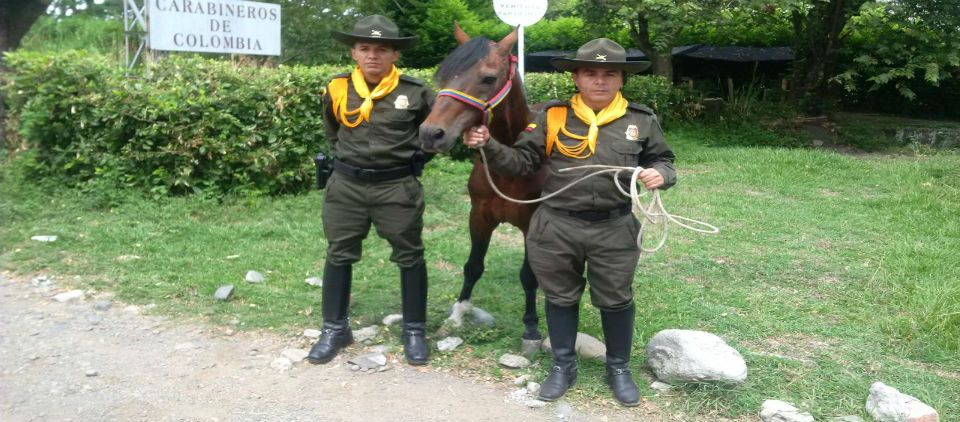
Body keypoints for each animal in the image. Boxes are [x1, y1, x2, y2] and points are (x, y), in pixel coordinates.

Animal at [419, 24, 547, 351]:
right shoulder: (479, 216)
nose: (430, 133)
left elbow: (528, 276)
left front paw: (531, 329)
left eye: (488, 78)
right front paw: (457, 315)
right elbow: (473, 266)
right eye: (442, 75)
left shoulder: (531, 222)